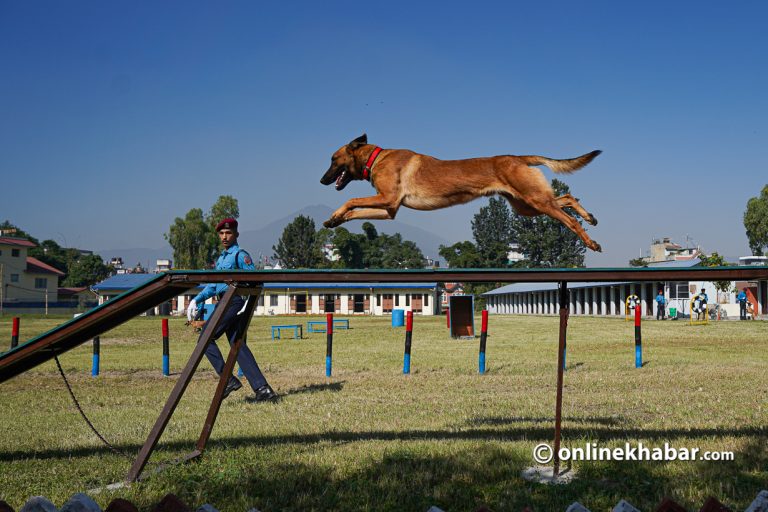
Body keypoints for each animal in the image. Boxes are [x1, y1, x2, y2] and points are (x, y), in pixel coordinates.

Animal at [320, 134, 604, 250]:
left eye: (333, 159)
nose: (323, 180)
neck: (376, 158)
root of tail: (517, 157)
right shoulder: (389, 209)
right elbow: (354, 211)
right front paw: (334, 220)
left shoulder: (387, 199)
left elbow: (351, 199)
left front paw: (335, 214)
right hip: (526, 206)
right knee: (567, 198)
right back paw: (589, 217)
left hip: (535, 201)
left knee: (568, 219)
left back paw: (591, 241)